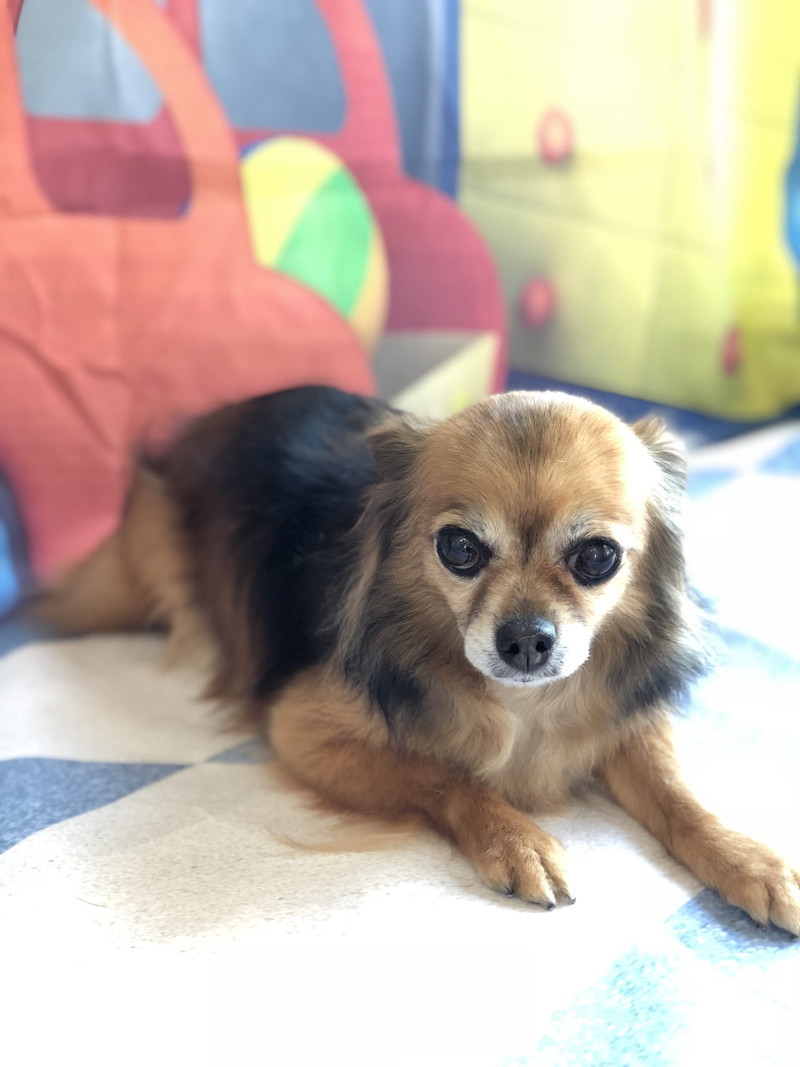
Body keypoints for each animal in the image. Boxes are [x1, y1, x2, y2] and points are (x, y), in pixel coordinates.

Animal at [34, 385, 800, 932]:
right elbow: (443, 774)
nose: (526, 638)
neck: (521, 704)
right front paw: (515, 838)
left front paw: (746, 856)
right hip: (140, 575)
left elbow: (678, 794)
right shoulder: (305, 728)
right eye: (458, 547)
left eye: (597, 557)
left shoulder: (627, 720)